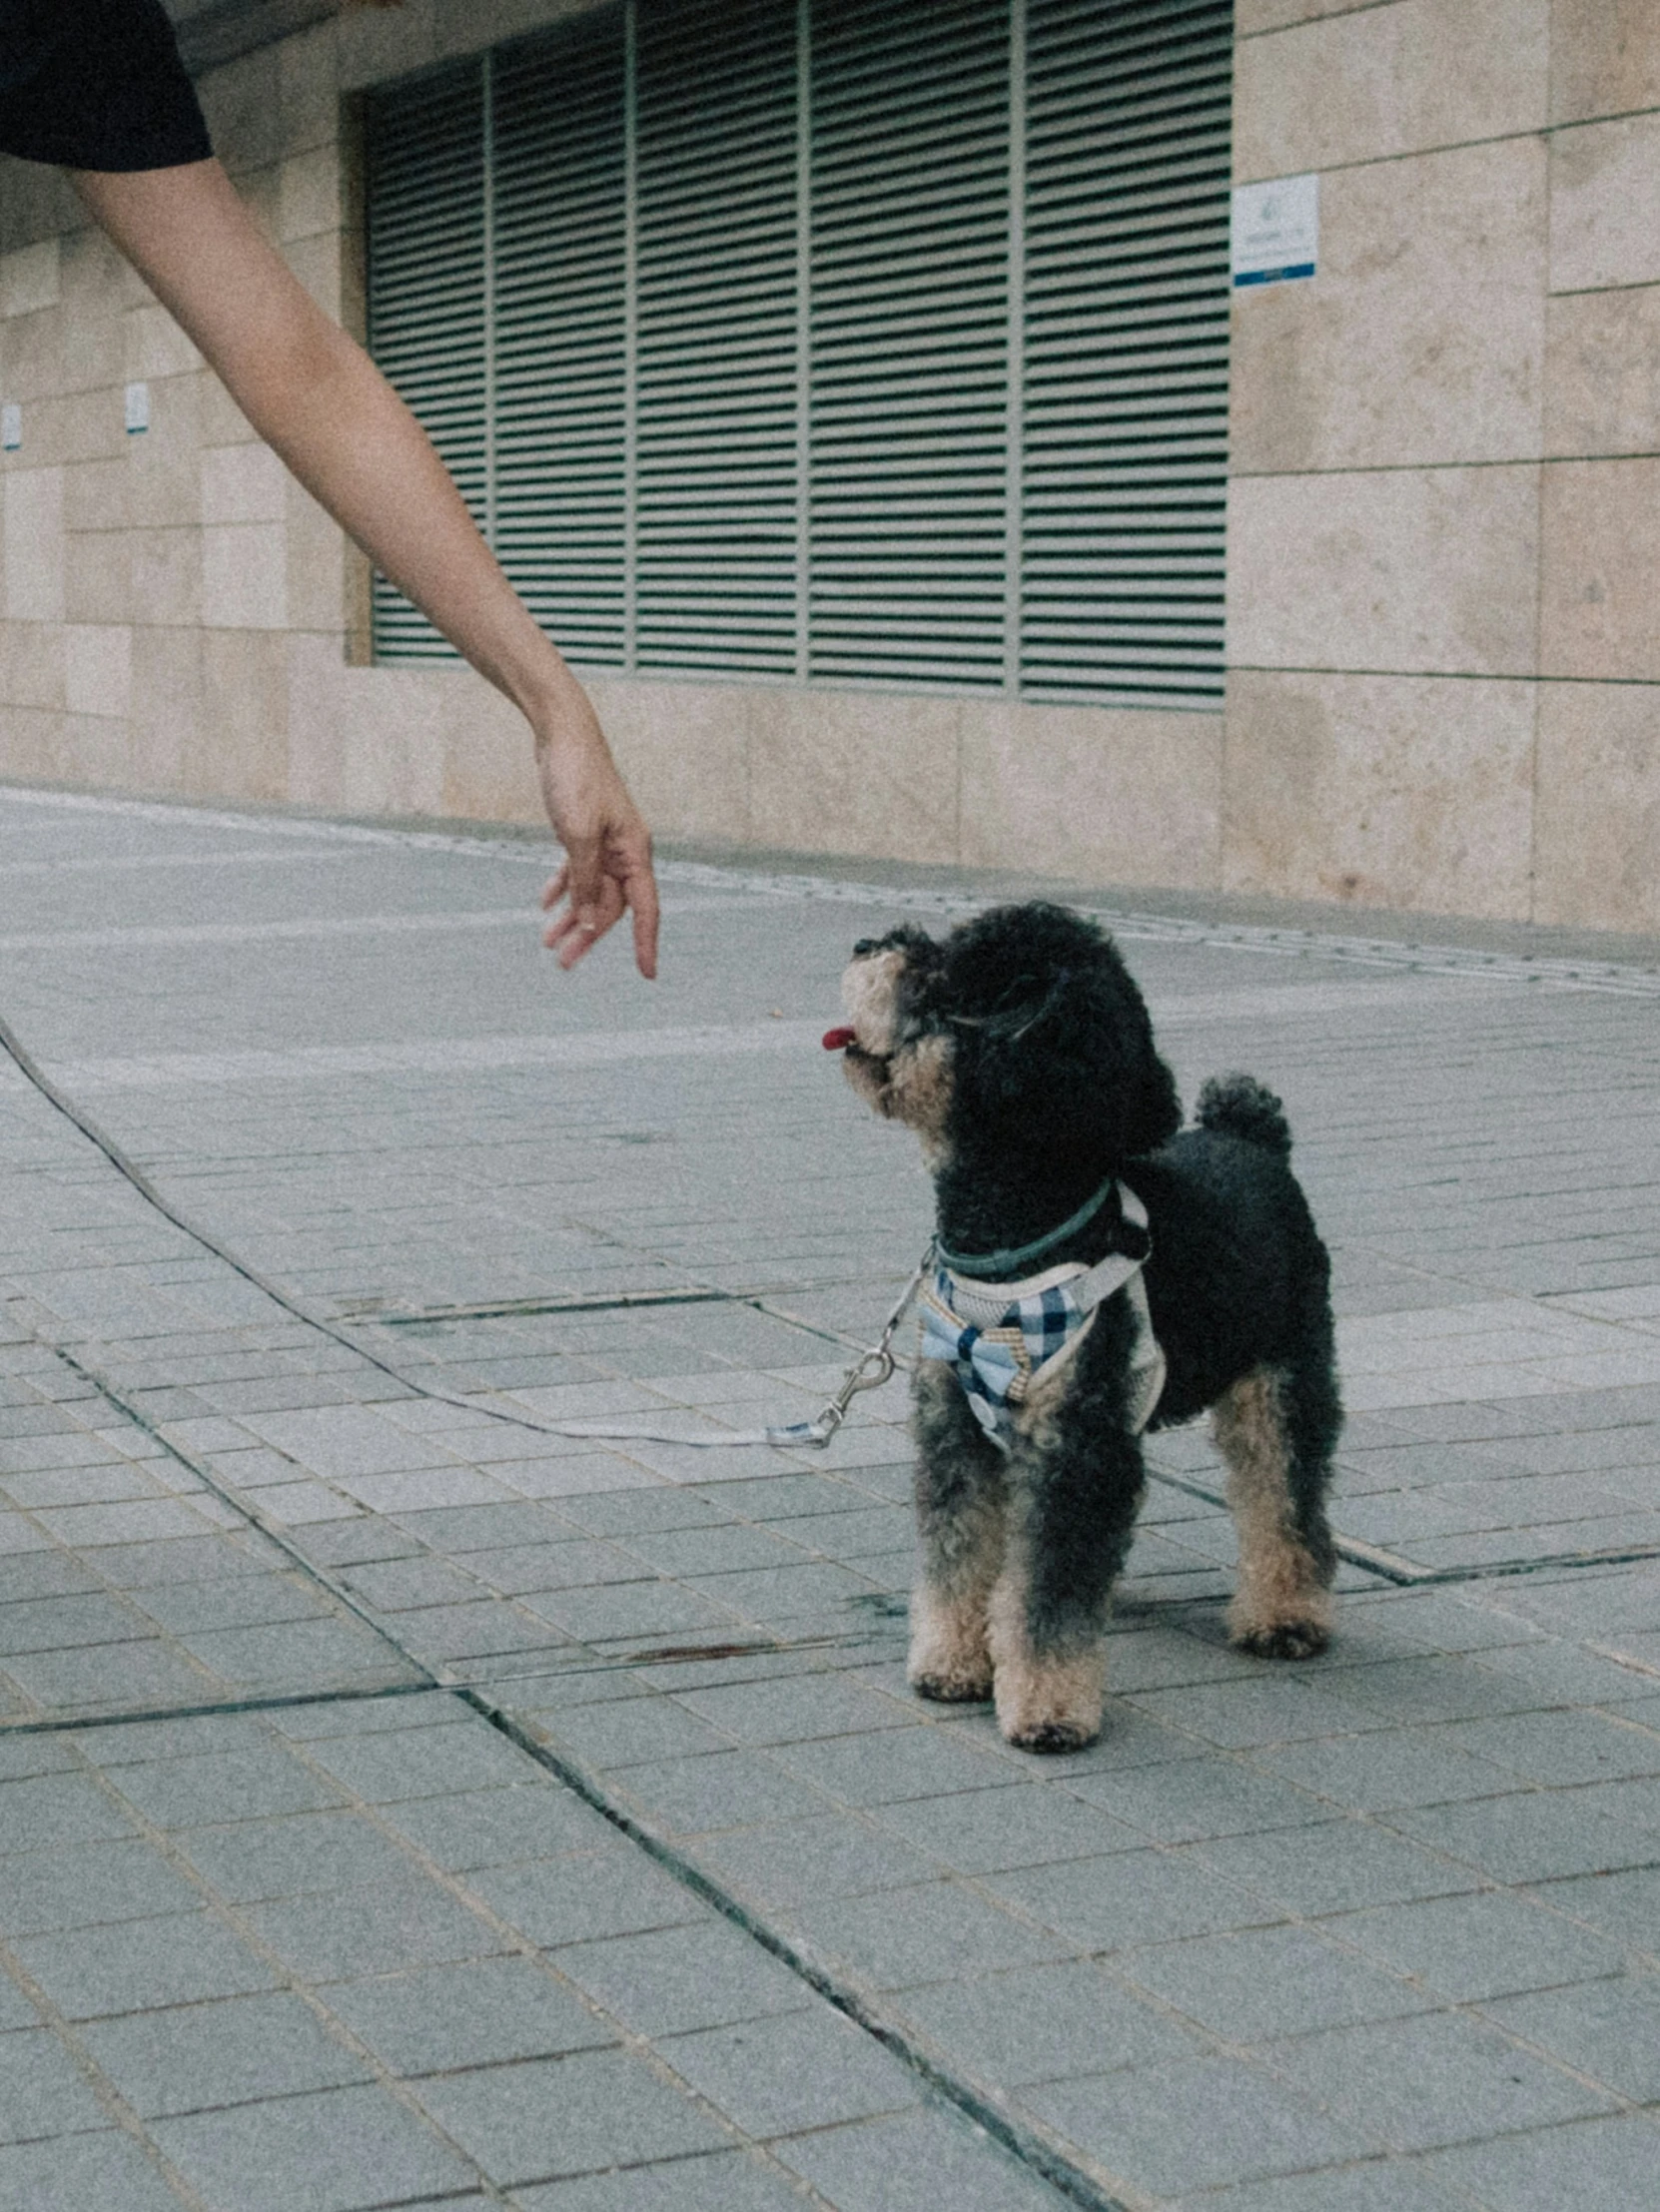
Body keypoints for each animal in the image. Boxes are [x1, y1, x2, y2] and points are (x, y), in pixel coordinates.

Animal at [827, 898, 1336, 1743]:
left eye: (943, 974)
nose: (866, 942)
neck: (1017, 1229)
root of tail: (1250, 1133)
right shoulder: (956, 1428)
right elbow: (959, 1555)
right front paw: (951, 1662)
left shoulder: (1074, 1439)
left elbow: (1048, 1595)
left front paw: (1047, 1705)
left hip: (1284, 1375)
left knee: (1285, 1498)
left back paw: (1286, 1615)